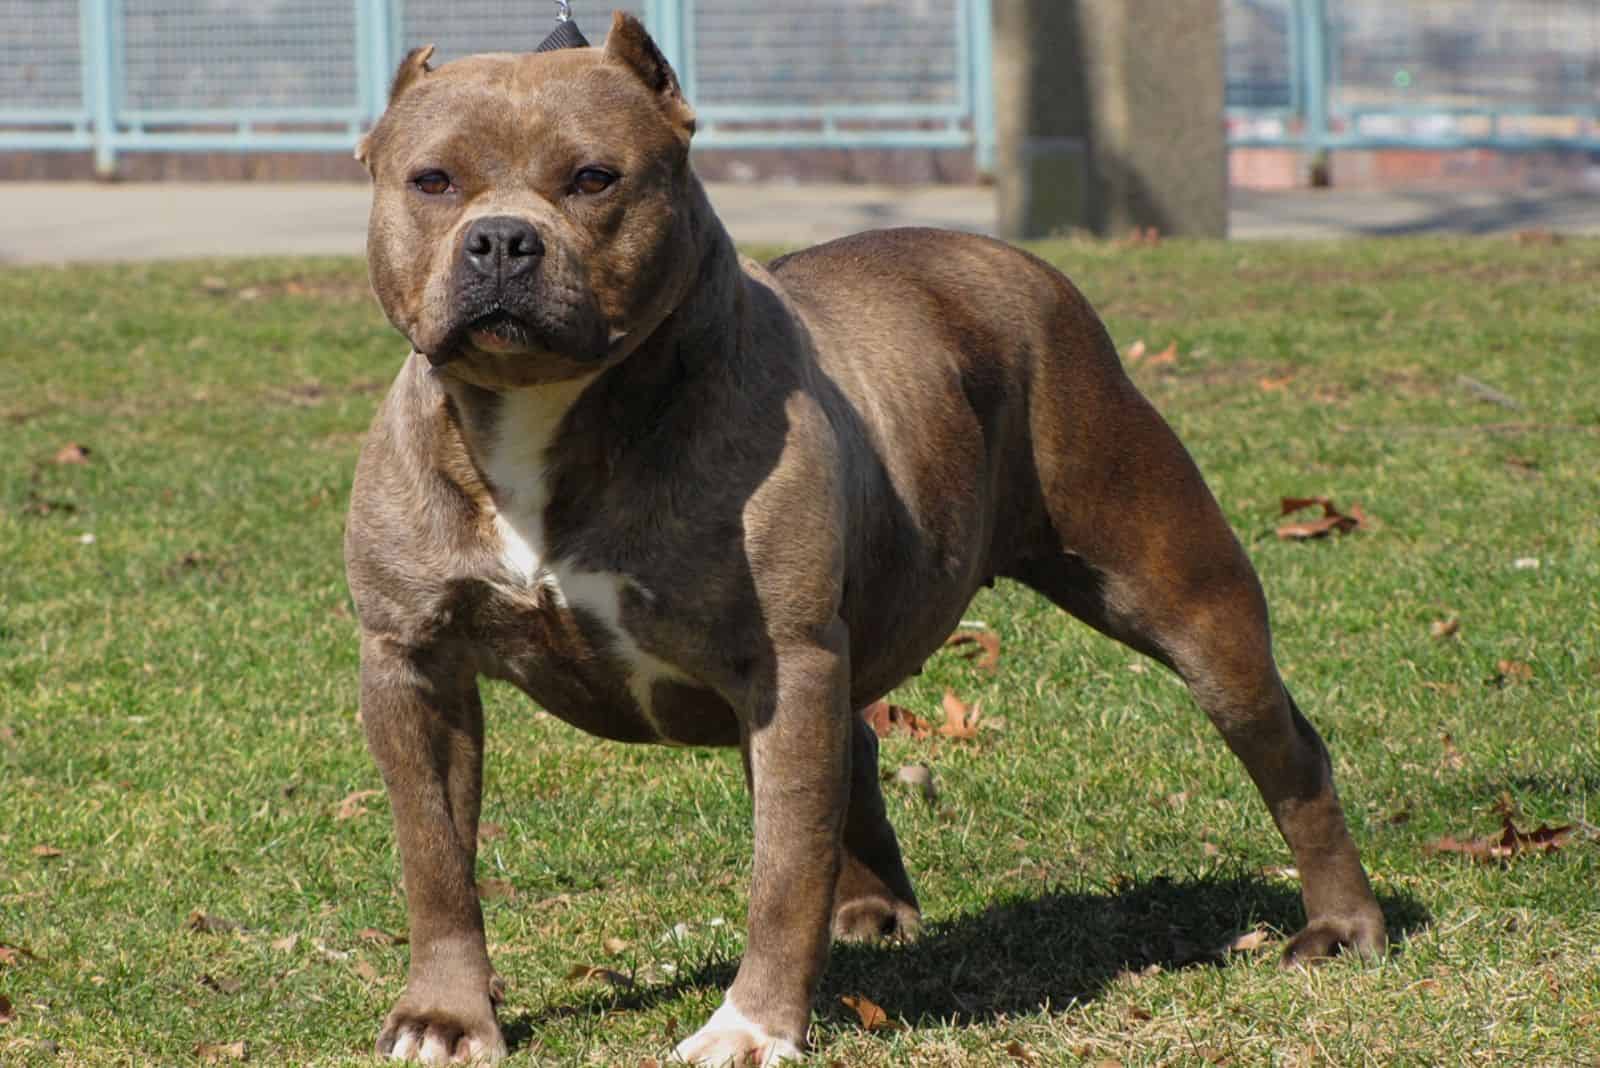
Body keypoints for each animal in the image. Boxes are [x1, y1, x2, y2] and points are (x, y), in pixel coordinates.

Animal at [347, 12, 1388, 1061]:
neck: (542, 417)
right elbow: (436, 860)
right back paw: (872, 911)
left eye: (595, 179)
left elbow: (780, 870)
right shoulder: (412, 665)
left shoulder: (785, 663)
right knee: (855, 754)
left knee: (1286, 746)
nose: (502, 240)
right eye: (431, 182)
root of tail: (1012, 259)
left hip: (1181, 594)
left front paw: (753, 1025)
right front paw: (445, 1015)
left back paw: (1342, 927)